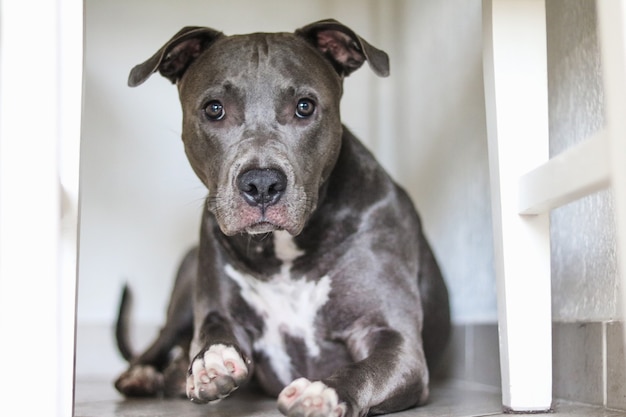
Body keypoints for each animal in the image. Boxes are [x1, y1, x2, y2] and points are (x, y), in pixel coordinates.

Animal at [114, 18, 448, 416]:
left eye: (305, 106)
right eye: (214, 109)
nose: (261, 182)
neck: (282, 251)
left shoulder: (392, 337)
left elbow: (364, 369)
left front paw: (323, 391)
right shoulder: (218, 309)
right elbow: (213, 331)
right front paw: (212, 361)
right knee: (159, 343)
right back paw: (145, 375)